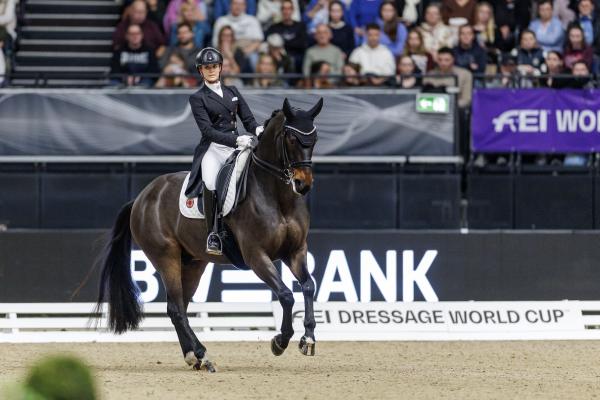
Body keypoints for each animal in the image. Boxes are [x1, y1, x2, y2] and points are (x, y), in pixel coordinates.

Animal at [94, 97, 323, 372]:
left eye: (314, 138)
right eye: (290, 138)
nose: (303, 184)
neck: (277, 196)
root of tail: (142, 197)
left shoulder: (296, 250)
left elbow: (308, 286)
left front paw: (308, 338)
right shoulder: (256, 255)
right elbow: (286, 295)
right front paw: (280, 341)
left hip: (193, 263)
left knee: (178, 306)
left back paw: (194, 357)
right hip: (166, 257)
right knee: (177, 308)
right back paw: (202, 355)